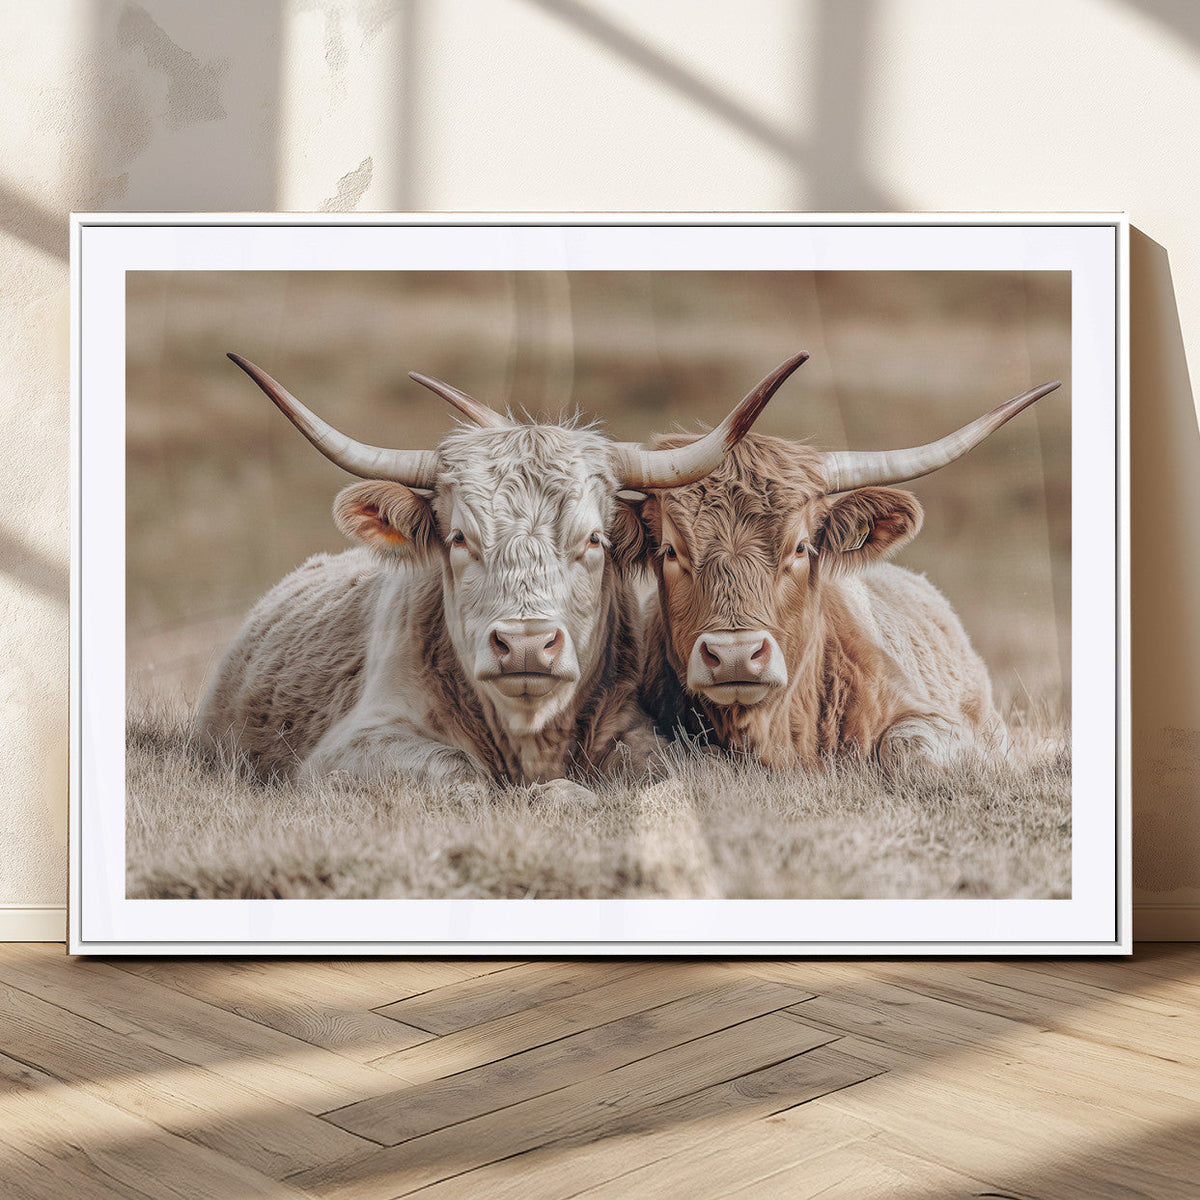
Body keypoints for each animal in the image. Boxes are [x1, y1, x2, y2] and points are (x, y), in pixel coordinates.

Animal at [195, 351, 807, 792]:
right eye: (459, 538)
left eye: (594, 539)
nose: (527, 646)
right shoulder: (352, 747)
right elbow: (461, 774)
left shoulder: (638, 731)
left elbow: (679, 769)